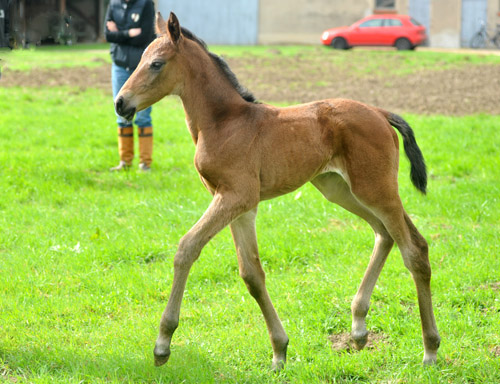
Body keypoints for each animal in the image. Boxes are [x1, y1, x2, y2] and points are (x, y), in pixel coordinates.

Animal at [115, 13, 440, 370]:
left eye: (156, 64)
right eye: (140, 60)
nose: (121, 102)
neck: (223, 122)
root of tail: (380, 113)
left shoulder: (236, 196)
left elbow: (187, 248)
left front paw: (162, 343)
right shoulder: (240, 205)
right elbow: (252, 274)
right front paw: (279, 351)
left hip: (376, 188)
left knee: (413, 250)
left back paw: (430, 349)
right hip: (340, 189)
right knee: (386, 235)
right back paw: (358, 328)